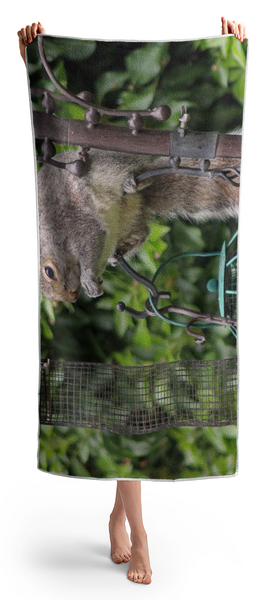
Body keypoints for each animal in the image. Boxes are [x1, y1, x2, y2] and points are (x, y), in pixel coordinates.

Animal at [37, 148, 238, 302]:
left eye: (49, 272)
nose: (70, 298)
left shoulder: (76, 223)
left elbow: (92, 237)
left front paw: (86, 277)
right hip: (126, 224)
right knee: (143, 232)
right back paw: (124, 247)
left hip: (110, 165)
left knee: (137, 171)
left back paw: (130, 182)